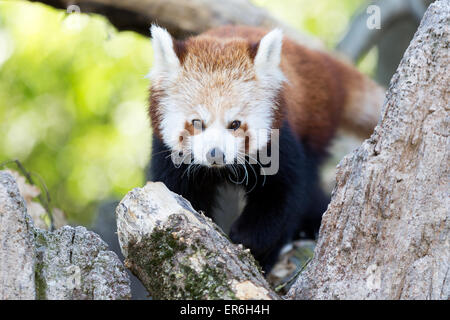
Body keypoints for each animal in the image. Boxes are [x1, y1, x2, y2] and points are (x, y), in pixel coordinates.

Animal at [147, 24, 384, 272]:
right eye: (197, 122)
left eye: (235, 124)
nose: (215, 154)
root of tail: (318, 61)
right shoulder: (168, 153)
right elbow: (179, 191)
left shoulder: (281, 138)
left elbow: (283, 195)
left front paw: (248, 242)